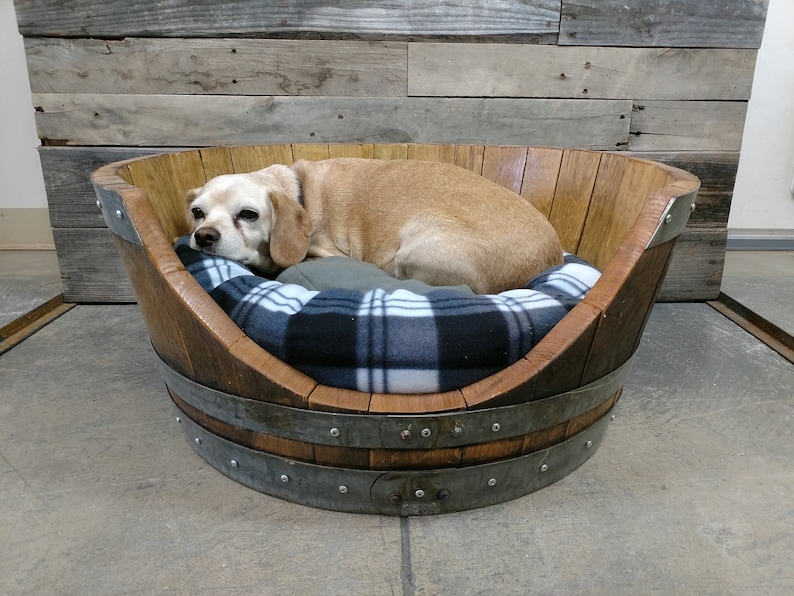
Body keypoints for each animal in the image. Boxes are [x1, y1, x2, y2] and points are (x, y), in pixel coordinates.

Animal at [184, 157, 564, 294]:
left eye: (248, 215)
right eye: (197, 212)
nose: (203, 237)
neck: (297, 189)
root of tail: (552, 259)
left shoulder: (326, 253)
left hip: (419, 242)